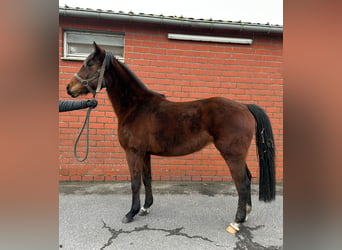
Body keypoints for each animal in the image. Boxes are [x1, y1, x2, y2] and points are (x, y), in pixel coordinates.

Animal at [66, 42, 276, 232]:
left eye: (90, 64)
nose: (69, 88)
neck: (136, 107)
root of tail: (244, 106)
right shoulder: (145, 153)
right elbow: (147, 179)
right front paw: (145, 207)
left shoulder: (133, 152)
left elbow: (135, 183)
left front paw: (131, 213)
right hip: (238, 155)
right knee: (248, 178)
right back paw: (246, 215)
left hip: (232, 155)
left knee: (242, 183)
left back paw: (236, 222)